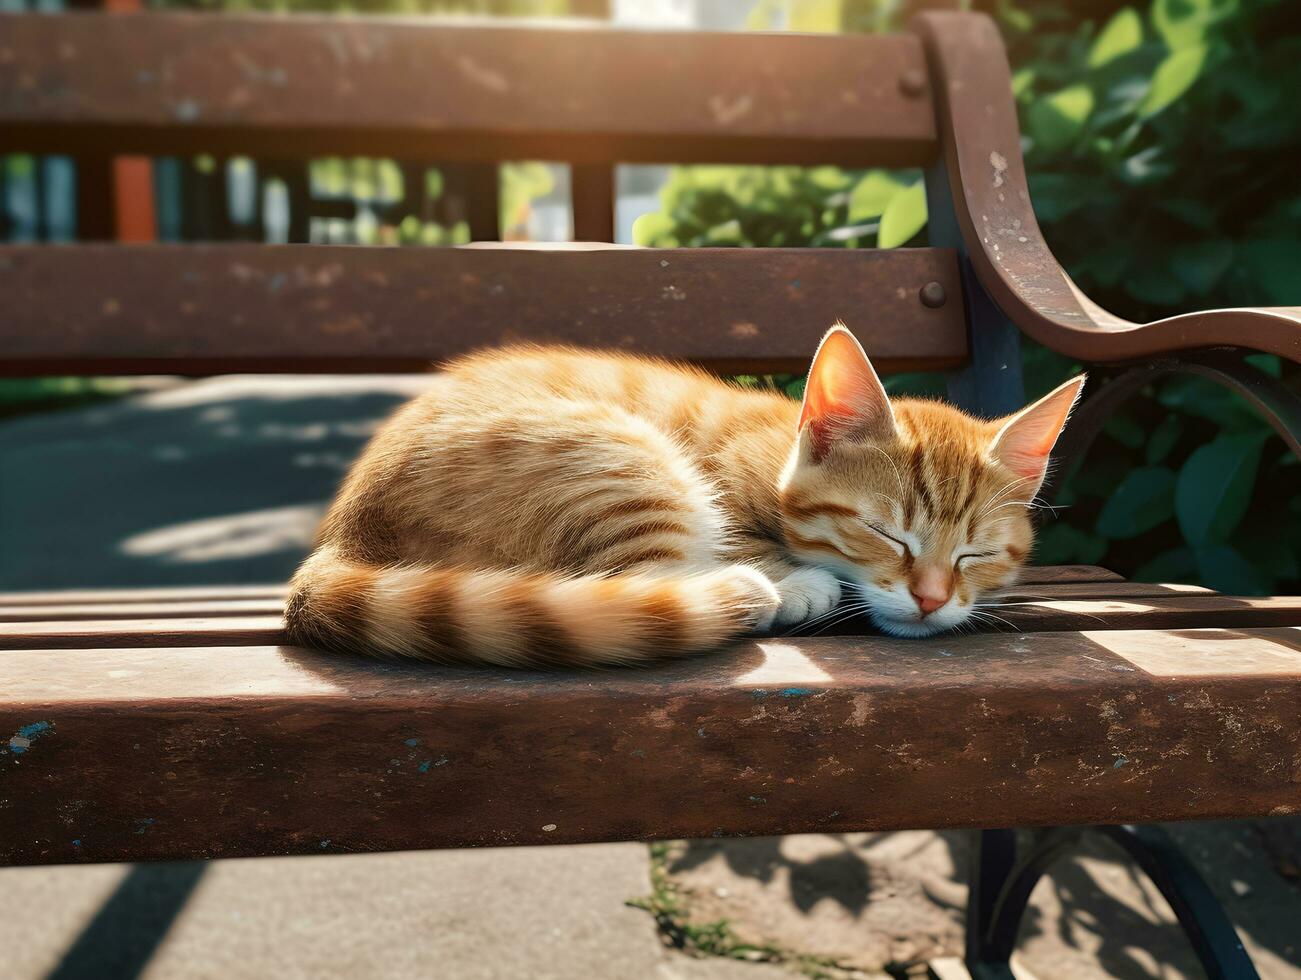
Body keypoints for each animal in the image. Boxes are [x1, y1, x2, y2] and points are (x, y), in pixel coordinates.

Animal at [287, 325, 1087, 671]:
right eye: (886, 533)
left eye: (976, 554)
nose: (930, 599)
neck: (774, 450)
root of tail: (343, 537)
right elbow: (748, 536)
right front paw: (795, 576)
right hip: (618, 456)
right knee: (646, 582)